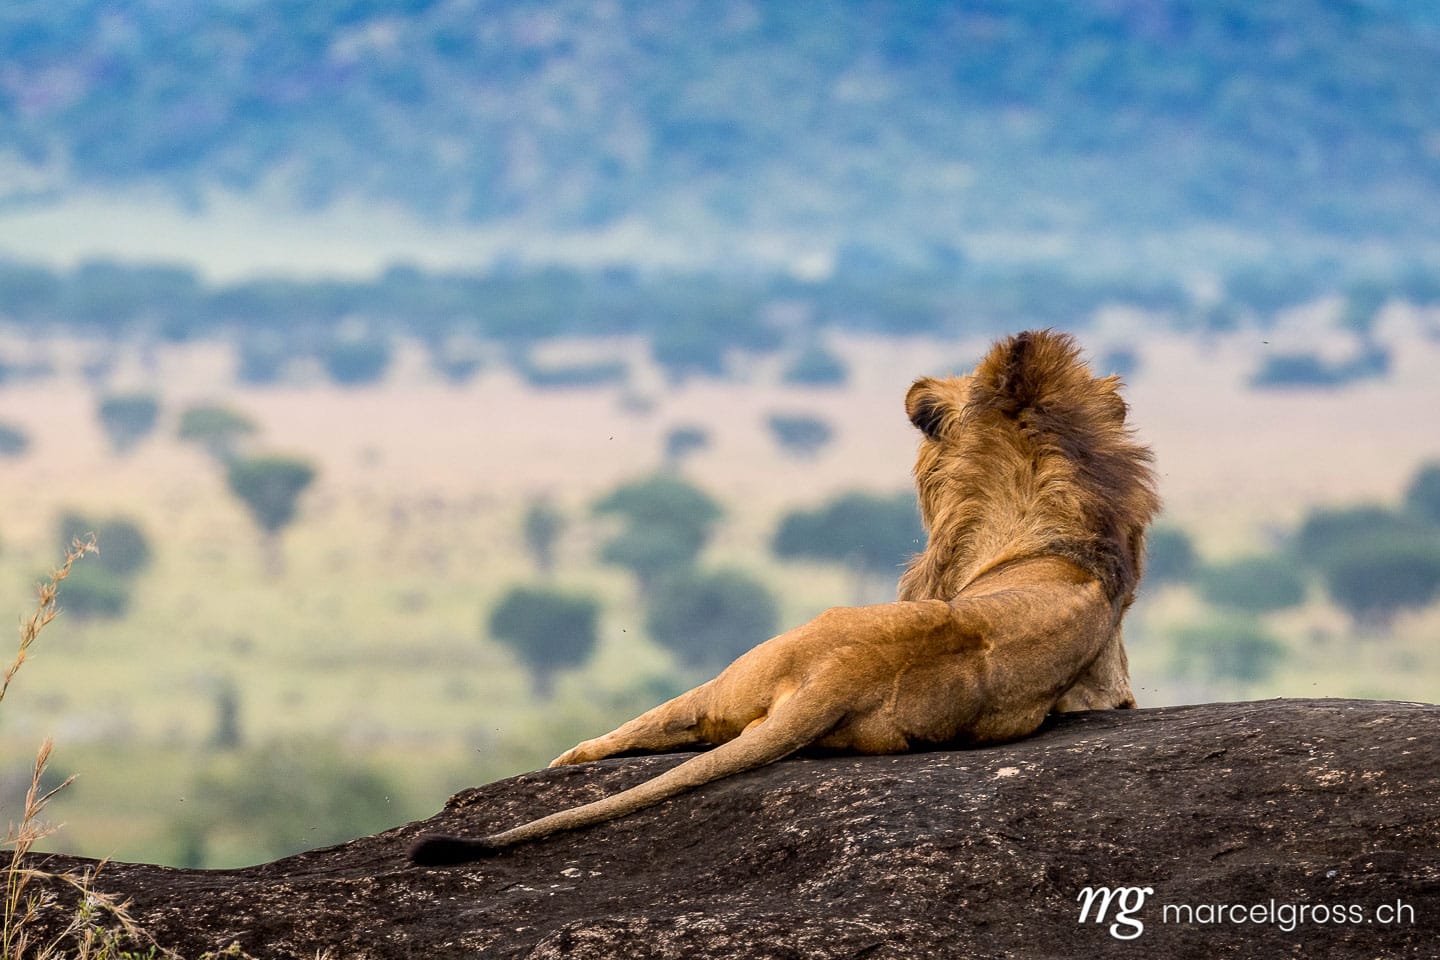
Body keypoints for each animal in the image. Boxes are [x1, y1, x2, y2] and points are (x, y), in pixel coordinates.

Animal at [409, 329, 1160, 866]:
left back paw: (566, 757)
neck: (1050, 519)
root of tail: (839, 675)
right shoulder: (1109, 685)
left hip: (737, 672)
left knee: (650, 725)